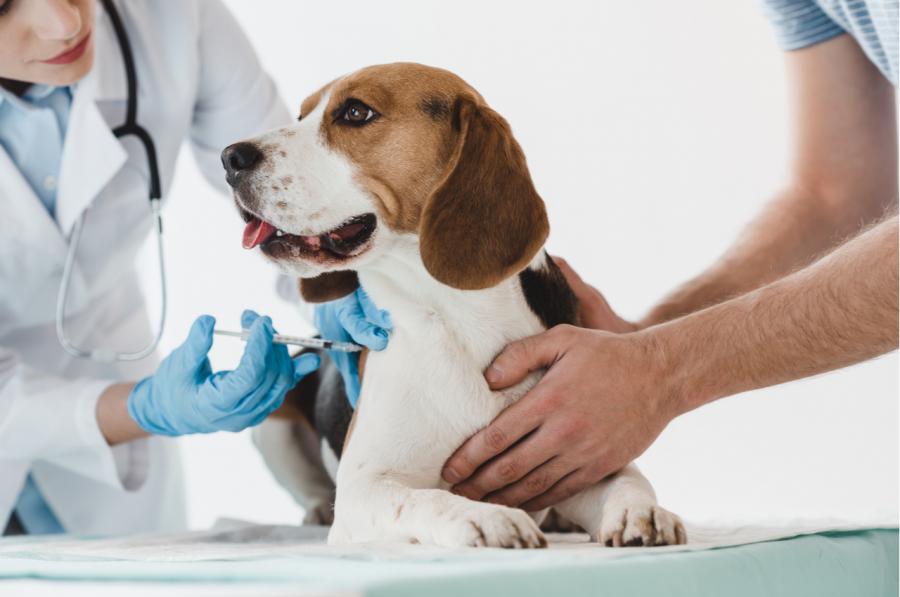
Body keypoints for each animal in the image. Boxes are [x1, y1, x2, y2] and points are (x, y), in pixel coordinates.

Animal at [221, 62, 684, 548]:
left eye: (355, 112)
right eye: (300, 115)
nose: (230, 157)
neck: (456, 320)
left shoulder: (579, 451)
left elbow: (628, 480)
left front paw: (641, 512)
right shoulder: (364, 488)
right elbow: (426, 499)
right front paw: (487, 517)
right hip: (273, 419)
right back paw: (314, 510)